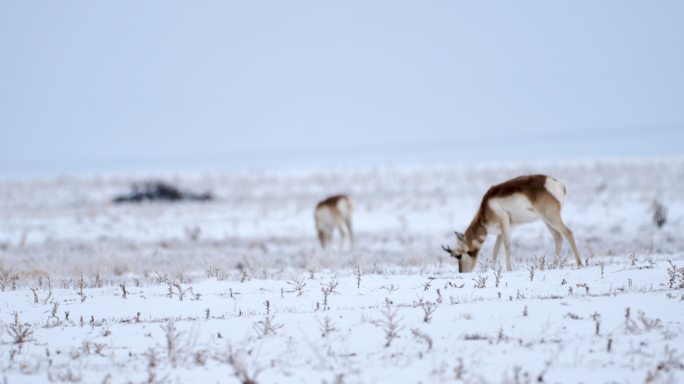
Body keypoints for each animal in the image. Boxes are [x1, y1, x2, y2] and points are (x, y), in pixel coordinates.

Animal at [444, 176, 584, 272]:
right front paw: (492, 269)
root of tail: (558, 184)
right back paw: (554, 267)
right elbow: (496, 250)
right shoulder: (501, 232)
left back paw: (579, 264)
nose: (462, 272)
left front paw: (508, 269)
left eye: (458, 256)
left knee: (568, 232)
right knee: (558, 237)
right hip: (546, 220)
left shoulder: (504, 222)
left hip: (551, 217)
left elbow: (507, 246)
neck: (486, 206)